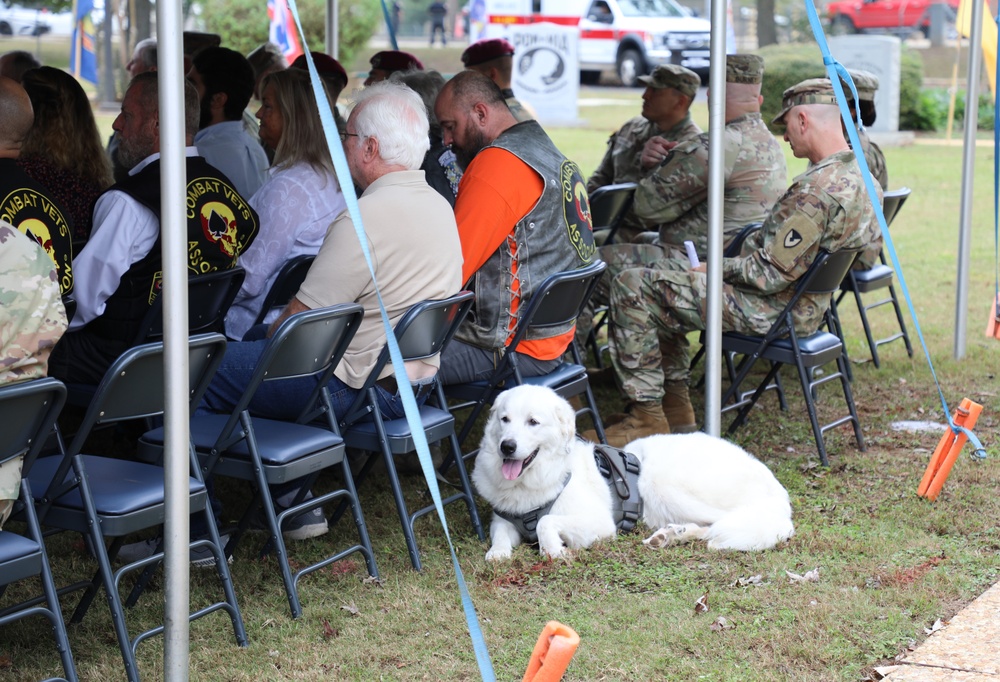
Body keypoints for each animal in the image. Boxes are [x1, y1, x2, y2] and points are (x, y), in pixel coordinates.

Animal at [472, 382, 792, 556]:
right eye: (504, 419)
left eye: (533, 422)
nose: (507, 447)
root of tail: (777, 490)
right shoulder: (503, 520)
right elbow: (499, 535)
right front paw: (498, 553)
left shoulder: (600, 523)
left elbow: (544, 523)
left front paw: (553, 550)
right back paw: (670, 535)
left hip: (663, 481)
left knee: (721, 523)